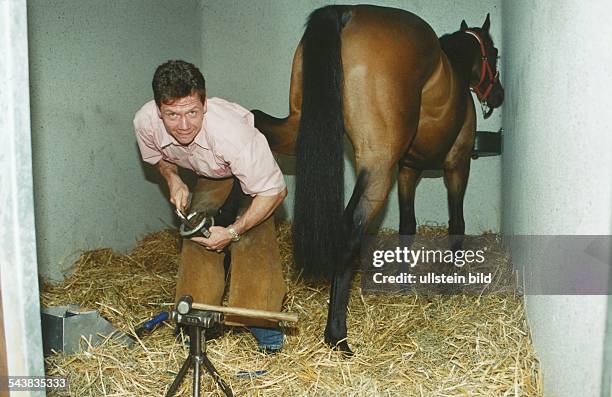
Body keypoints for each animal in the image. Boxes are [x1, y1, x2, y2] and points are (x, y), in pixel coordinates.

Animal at [251, 4, 504, 354]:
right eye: (493, 53)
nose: (498, 96)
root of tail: (346, 13)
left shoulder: (408, 170)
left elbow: (407, 227)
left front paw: (402, 282)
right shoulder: (457, 165)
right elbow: (457, 226)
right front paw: (449, 285)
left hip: (295, 128)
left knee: (254, 120)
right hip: (378, 168)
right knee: (349, 230)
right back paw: (337, 335)